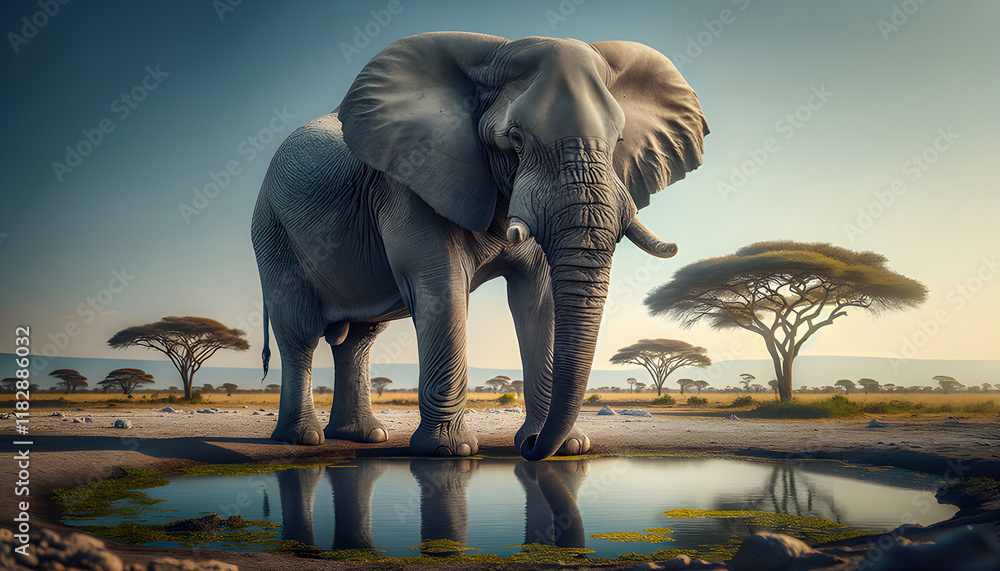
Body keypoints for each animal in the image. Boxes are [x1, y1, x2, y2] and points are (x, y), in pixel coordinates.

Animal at [251, 32, 707, 460]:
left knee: (359, 339)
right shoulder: (409, 181)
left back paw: (364, 436)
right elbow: (443, 287)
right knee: (300, 329)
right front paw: (448, 451)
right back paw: (302, 439)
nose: (531, 450)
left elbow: (539, 297)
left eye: (618, 141)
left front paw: (569, 448)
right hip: (272, 229)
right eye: (516, 139)